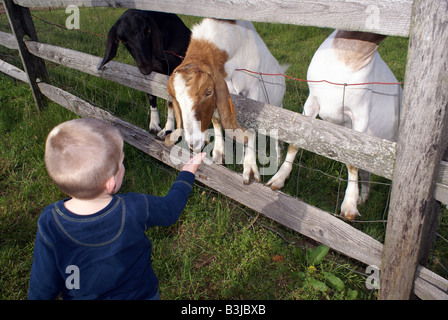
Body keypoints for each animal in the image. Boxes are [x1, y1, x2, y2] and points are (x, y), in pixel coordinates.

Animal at [99, 8, 190, 136]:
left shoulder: (172, 71)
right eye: (123, 40)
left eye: (147, 31)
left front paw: (168, 129)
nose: (145, 67)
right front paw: (155, 125)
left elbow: (170, 100)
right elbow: (150, 94)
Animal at [164, 19, 290, 185]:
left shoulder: (253, 90)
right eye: (176, 99)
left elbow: (252, 126)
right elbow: (217, 119)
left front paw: (249, 167)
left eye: (208, 92)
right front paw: (218, 153)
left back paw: (278, 154)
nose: (193, 143)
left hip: (277, 105)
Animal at [274, 30, 400, 220]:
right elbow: (295, 142)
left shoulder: (360, 116)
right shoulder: (312, 102)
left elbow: (352, 162)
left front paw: (349, 206)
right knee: (366, 171)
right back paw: (363, 199)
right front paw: (278, 178)